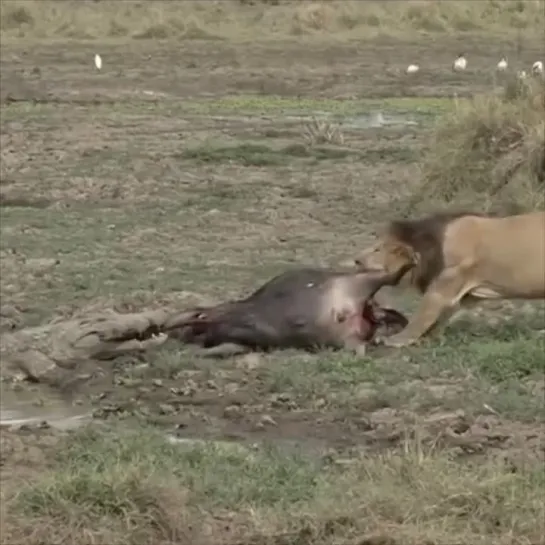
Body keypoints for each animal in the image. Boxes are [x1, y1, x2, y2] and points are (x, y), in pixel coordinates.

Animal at [350, 210, 540, 346]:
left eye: (377, 249)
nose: (356, 259)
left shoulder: (442, 287)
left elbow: (420, 318)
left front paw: (394, 339)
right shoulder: (461, 295)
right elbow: (439, 319)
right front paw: (429, 338)